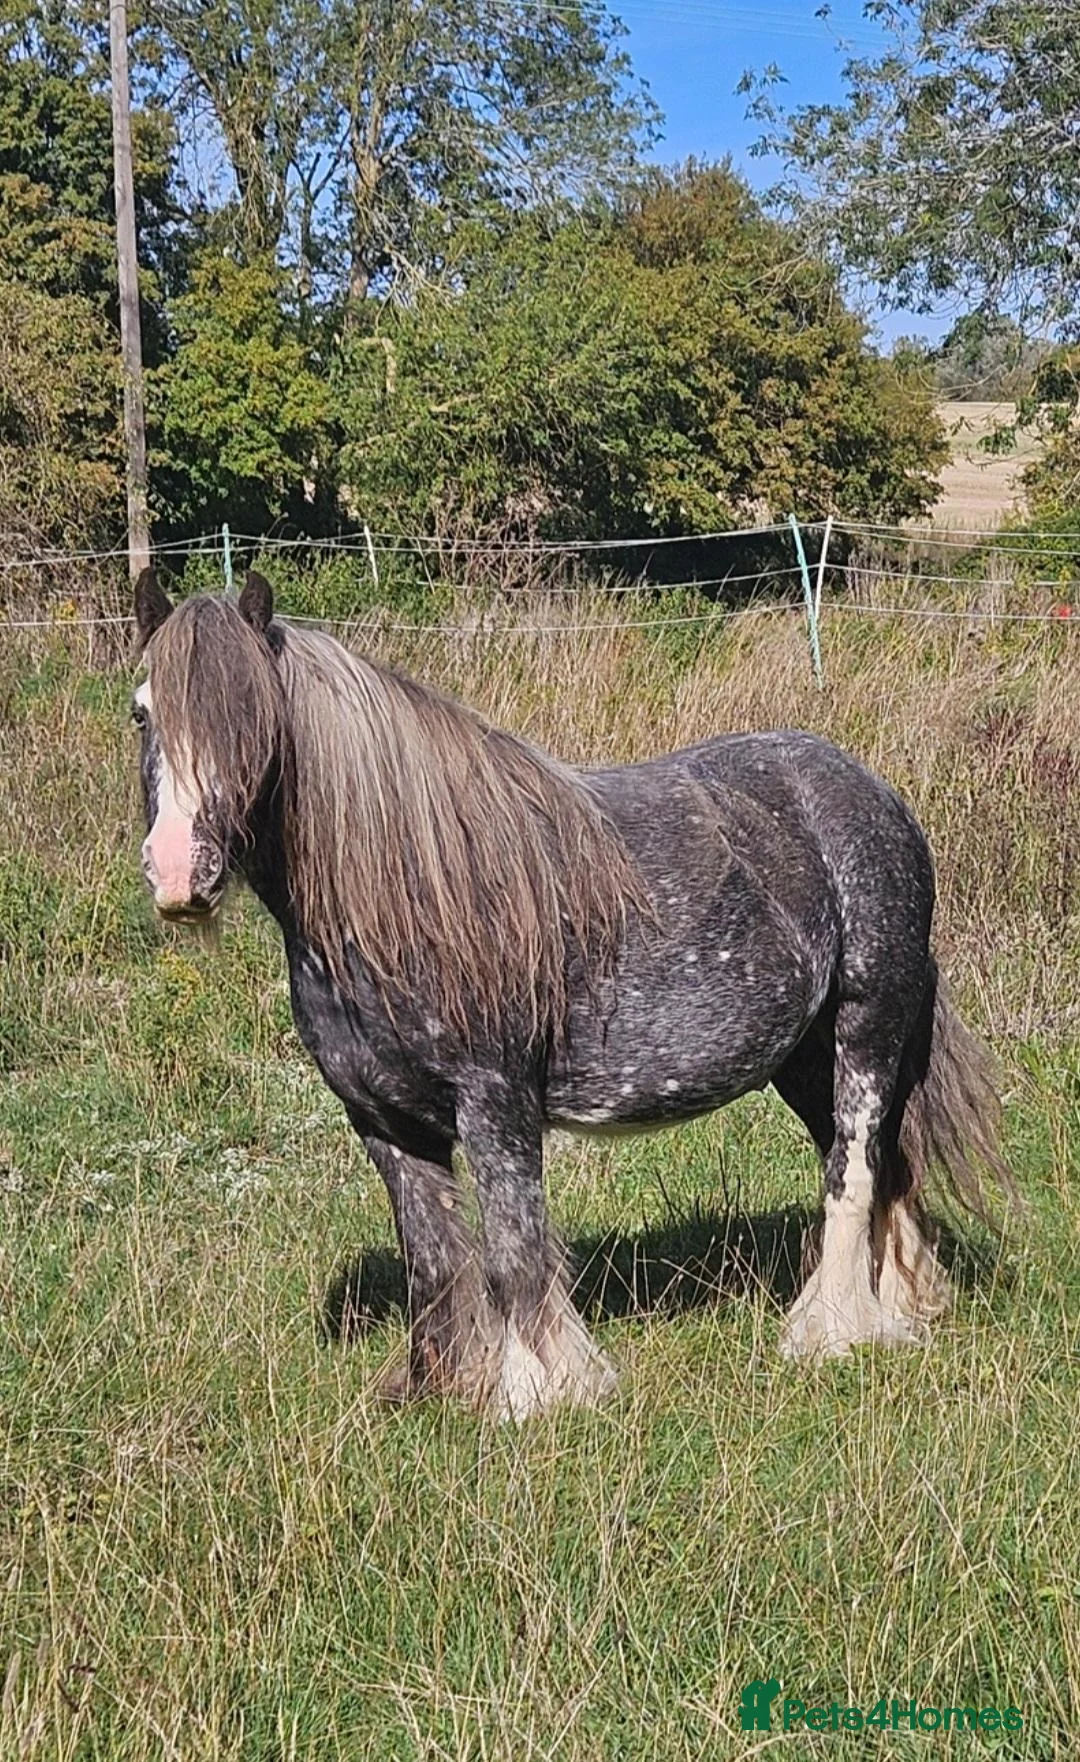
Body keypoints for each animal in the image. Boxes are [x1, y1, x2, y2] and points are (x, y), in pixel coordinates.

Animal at [130, 569, 1014, 1419]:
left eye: (252, 716)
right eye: (142, 714)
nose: (177, 873)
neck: (409, 902)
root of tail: (868, 790)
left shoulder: (495, 1104)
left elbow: (513, 1252)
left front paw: (537, 1396)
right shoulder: (382, 1122)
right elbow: (434, 1262)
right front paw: (447, 1388)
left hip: (867, 1030)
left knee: (853, 1171)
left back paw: (831, 1334)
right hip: (804, 1060)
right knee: (879, 1165)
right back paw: (896, 1310)